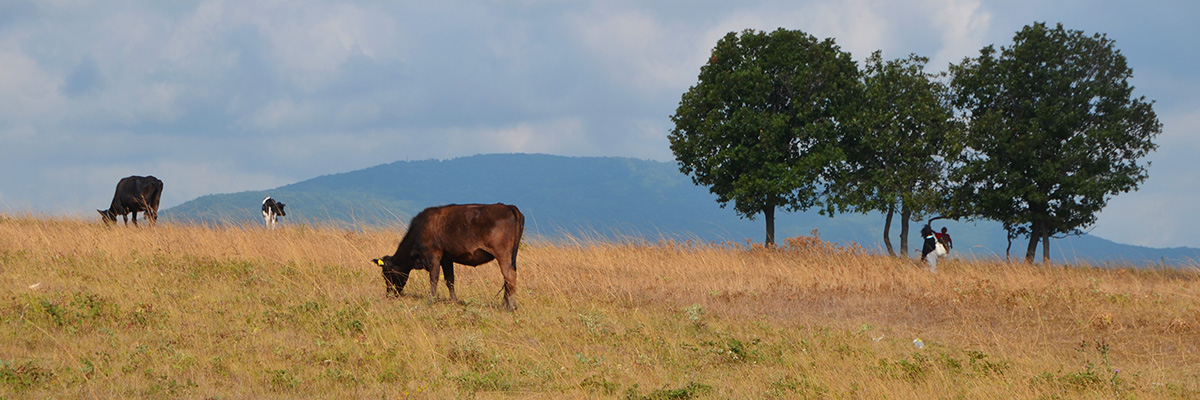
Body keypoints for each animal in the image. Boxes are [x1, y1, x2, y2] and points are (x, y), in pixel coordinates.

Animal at [369, 204, 525, 309]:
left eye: (387, 274)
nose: (389, 295)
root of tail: (509, 207)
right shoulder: (446, 258)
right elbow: (450, 280)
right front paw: (454, 301)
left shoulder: (434, 255)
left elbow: (434, 278)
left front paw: (430, 301)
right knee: (507, 279)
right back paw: (505, 304)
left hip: (502, 254)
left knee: (509, 276)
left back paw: (510, 307)